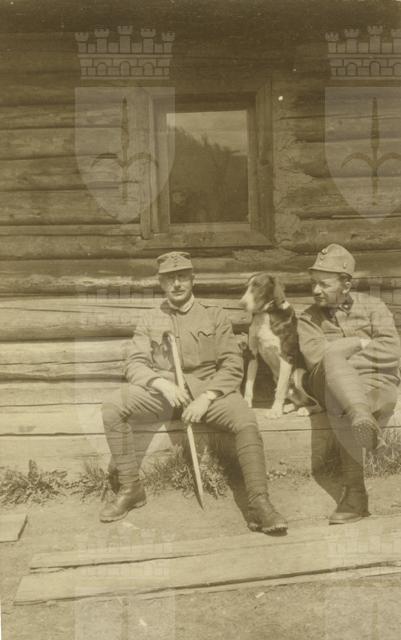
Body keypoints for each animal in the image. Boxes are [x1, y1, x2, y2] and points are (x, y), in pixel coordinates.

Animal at [240, 273, 320, 418]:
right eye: (246, 287)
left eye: (258, 285)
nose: (241, 303)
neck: (266, 314)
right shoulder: (252, 354)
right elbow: (249, 383)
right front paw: (246, 403)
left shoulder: (286, 357)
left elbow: (280, 391)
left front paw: (275, 411)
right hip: (278, 379)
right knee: (301, 400)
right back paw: (288, 407)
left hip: (299, 375)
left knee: (320, 404)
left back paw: (305, 410)